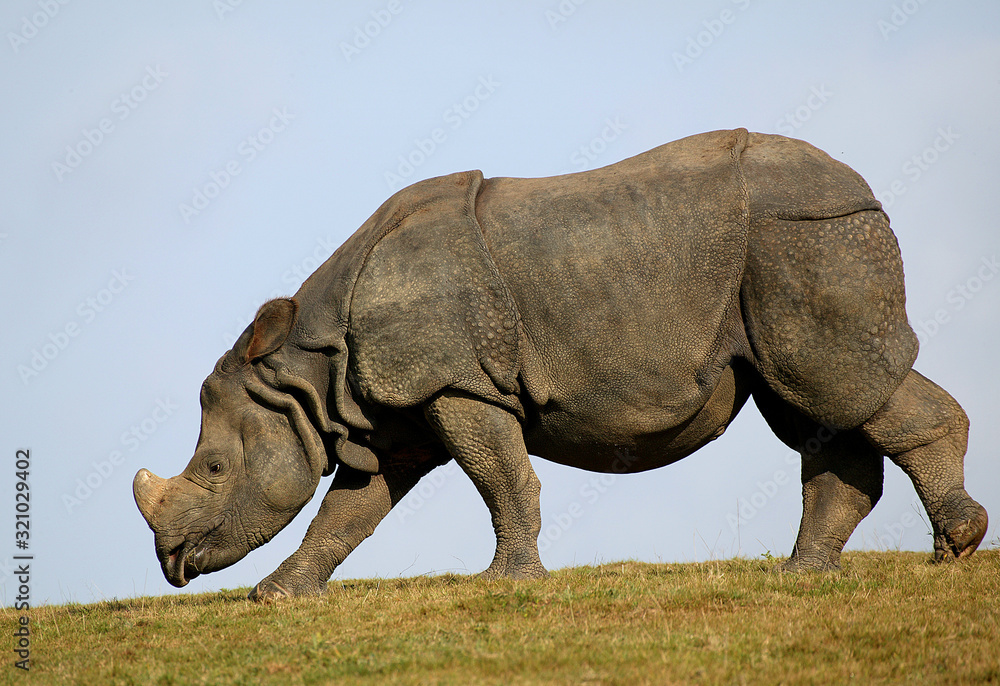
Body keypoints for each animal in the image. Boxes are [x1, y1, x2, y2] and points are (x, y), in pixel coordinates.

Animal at [134, 129, 987, 601]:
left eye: (214, 469)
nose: (171, 562)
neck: (309, 373)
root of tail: (863, 188)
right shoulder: (390, 412)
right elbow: (348, 513)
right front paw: (275, 599)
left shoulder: (455, 384)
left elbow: (502, 478)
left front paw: (506, 586)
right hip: (793, 247)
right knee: (815, 407)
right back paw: (803, 576)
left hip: (809, 233)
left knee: (836, 383)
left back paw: (957, 546)